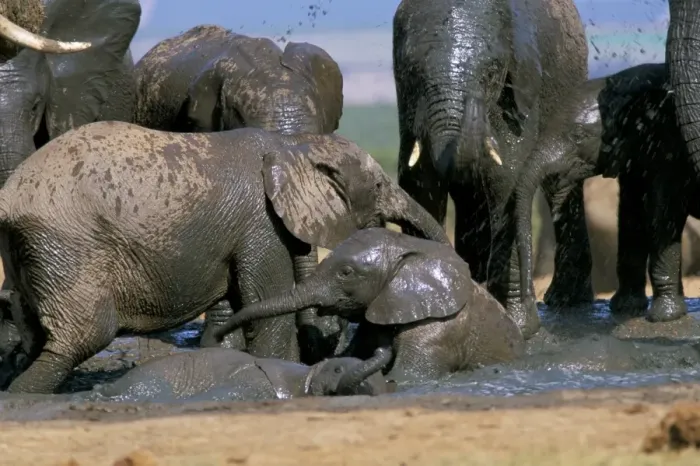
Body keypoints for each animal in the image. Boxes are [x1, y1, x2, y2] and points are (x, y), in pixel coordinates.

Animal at [0, 121, 448, 394]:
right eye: (378, 185)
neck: (294, 148)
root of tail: (9, 194)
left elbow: (233, 310)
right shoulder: (262, 224)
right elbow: (266, 310)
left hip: (29, 249)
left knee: (31, 333)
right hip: (67, 243)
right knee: (82, 337)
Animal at [392, 0, 588, 339]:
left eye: (491, 73)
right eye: (413, 72)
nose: (475, 102)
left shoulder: (520, 91)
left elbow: (507, 179)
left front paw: (519, 327)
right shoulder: (409, 104)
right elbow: (418, 184)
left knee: (558, 185)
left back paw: (565, 299)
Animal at [514, 62, 698, 322]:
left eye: (578, 136)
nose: (530, 302)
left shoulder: (671, 146)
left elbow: (664, 210)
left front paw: (664, 317)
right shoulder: (635, 156)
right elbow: (631, 212)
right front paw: (626, 308)